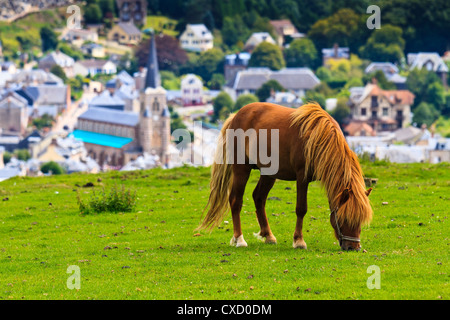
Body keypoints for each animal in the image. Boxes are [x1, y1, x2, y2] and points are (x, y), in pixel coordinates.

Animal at [197, 102, 372, 250]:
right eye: (344, 218)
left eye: (361, 220)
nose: (354, 247)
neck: (318, 138)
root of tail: (236, 116)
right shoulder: (302, 178)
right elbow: (301, 208)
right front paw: (299, 241)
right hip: (242, 169)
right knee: (235, 200)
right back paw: (239, 239)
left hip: (269, 173)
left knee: (258, 197)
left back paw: (268, 236)